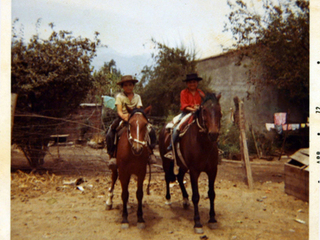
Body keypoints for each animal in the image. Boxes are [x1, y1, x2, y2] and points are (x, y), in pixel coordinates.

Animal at [159, 93, 221, 233]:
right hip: (166, 162)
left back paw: (185, 199)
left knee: (179, 177)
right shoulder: (194, 171)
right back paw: (168, 199)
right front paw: (197, 223)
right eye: (204, 110)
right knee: (167, 177)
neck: (203, 144)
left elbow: (211, 194)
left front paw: (212, 219)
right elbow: (196, 196)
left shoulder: (213, 170)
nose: (213, 134)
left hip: (182, 165)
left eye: (219, 110)